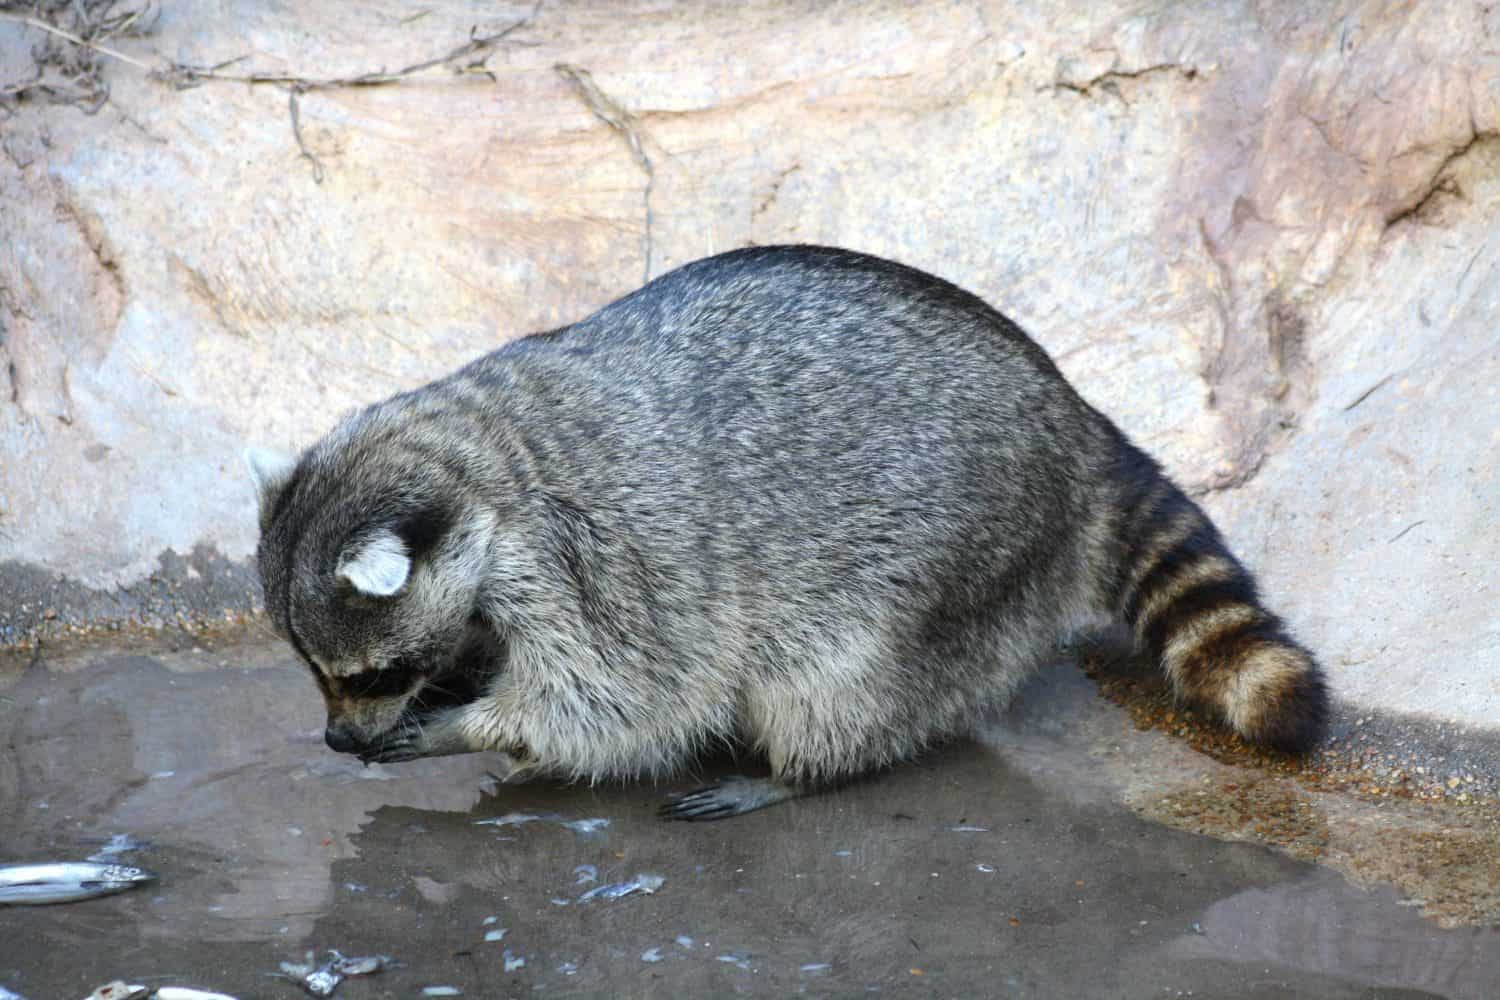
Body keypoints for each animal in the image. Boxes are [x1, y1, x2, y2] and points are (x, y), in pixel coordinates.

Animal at [248, 245, 1327, 820]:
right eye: (317, 673)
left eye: (371, 674)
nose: (339, 740)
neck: (478, 459)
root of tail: (1075, 421)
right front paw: (466, 686)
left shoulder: (595, 563)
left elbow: (622, 700)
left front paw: (475, 725)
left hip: (948, 558)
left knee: (837, 681)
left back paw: (799, 772)